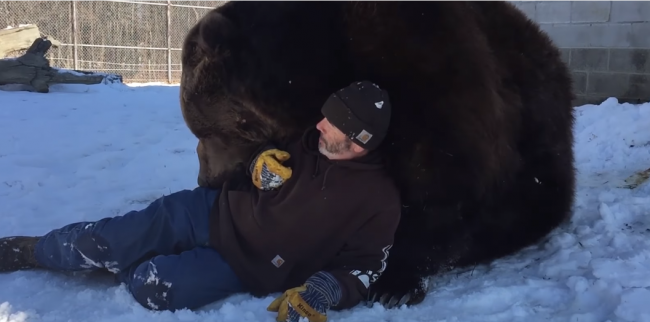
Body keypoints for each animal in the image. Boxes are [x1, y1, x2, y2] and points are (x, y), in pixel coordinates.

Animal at [176, 1, 572, 310]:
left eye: (207, 131)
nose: (207, 178)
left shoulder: (428, 74)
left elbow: (442, 181)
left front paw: (395, 283)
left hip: (541, 136)